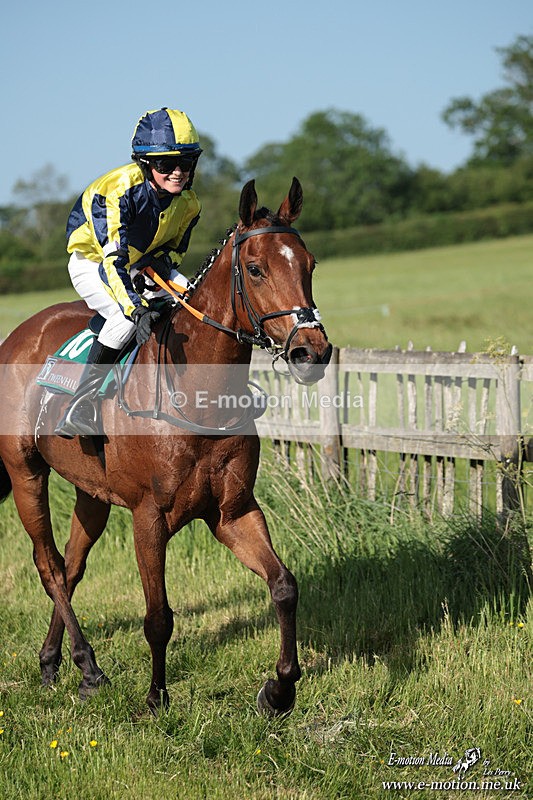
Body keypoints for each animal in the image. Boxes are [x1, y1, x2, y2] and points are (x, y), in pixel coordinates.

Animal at [0, 177, 331, 716]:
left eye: (310, 263)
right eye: (256, 268)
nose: (312, 351)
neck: (198, 397)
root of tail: (18, 336)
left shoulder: (233, 510)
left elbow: (284, 585)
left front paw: (280, 689)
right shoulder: (148, 516)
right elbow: (158, 616)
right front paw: (156, 697)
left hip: (92, 491)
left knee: (71, 567)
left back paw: (53, 661)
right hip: (25, 470)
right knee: (49, 566)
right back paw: (89, 666)